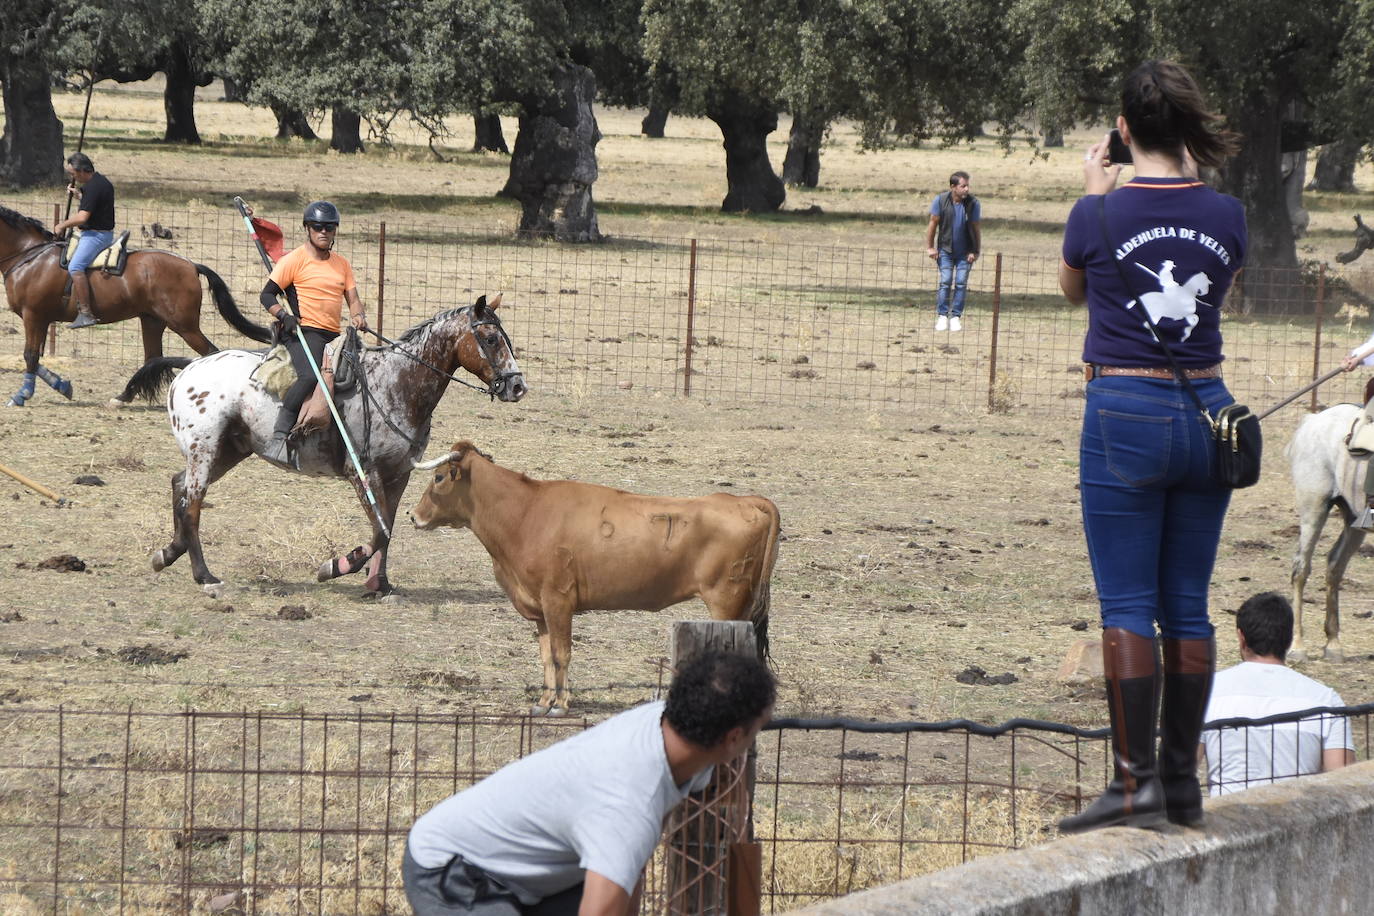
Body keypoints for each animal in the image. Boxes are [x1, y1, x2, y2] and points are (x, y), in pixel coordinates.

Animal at [0, 207, 270, 409]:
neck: (30, 256)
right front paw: (62, 385)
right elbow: (36, 358)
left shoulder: (33, 316)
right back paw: (123, 397)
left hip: (184, 326)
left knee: (209, 353)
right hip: (152, 321)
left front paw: (22, 395)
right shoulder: (42, 319)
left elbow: (30, 356)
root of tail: (191, 265)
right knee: (154, 358)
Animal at [122, 292, 524, 596]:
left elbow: (388, 530)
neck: (398, 383)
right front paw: (335, 566)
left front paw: (379, 585)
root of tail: (191, 366)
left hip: (229, 450)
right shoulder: (364, 473)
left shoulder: (398, 476)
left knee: (179, 486)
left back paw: (167, 553)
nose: (518, 386)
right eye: (491, 339)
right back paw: (205, 576)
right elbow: (380, 531)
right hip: (205, 450)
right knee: (193, 502)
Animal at [406, 444, 780, 714]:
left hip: (726, 604)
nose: (413, 516)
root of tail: (744, 501)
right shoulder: (540, 608)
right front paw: (544, 702)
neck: (526, 512)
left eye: (438, 477)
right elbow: (546, 655)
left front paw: (561, 705)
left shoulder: (558, 601)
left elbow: (562, 652)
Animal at [1280, 403, 1368, 661]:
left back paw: (1333, 643)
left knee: (1335, 566)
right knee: (1301, 569)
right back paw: (1298, 646)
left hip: (1354, 520)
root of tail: (1313, 420)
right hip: (1314, 508)